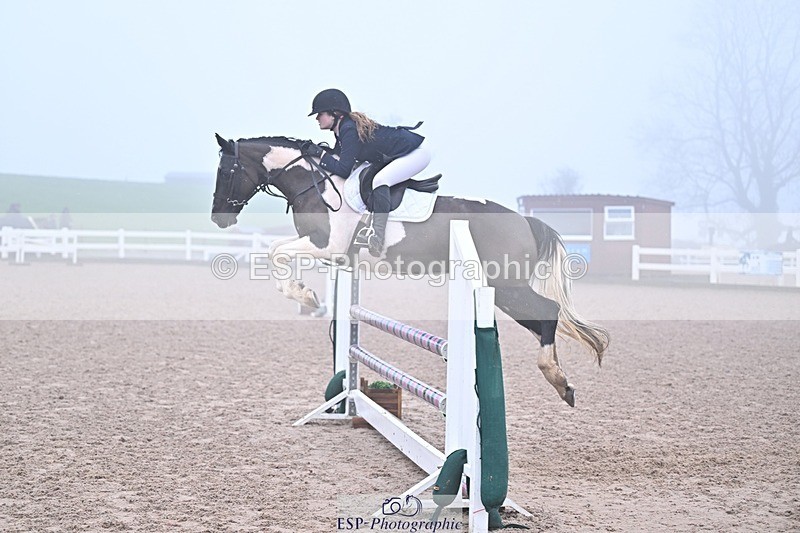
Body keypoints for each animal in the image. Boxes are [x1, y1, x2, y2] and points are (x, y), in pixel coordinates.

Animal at [210, 134, 609, 407]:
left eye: (226, 171)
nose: (218, 219)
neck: (314, 183)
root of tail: (523, 220)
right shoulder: (330, 252)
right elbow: (274, 252)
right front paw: (302, 292)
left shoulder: (326, 245)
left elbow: (275, 252)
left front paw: (303, 294)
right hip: (503, 292)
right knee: (542, 319)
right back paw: (562, 383)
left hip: (506, 284)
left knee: (549, 312)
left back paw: (557, 379)